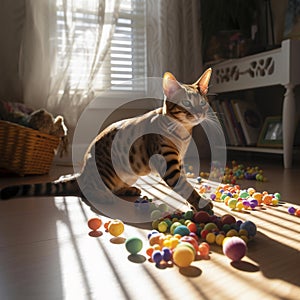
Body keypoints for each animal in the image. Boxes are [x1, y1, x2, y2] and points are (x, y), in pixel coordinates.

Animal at [1, 69, 214, 212]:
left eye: (203, 103)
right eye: (186, 103)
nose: (199, 113)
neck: (183, 133)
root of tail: (81, 175)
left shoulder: (178, 161)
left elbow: (185, 184)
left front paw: (192, 203)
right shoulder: (168, 163)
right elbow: (184, 185)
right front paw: (201, 203)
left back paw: (129, 190)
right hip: (107, 172)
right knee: (87, 192)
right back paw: (104, 197)